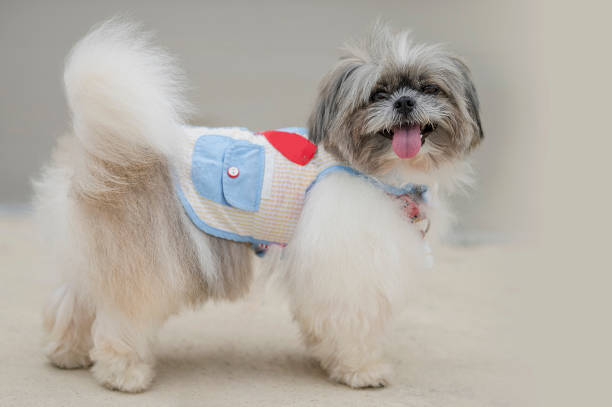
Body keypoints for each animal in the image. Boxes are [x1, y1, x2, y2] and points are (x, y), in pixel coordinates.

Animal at [34, 18, 482, 392]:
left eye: (430, 88)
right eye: (378, 93)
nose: (404, 103)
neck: (372, 170)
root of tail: (106, 150)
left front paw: (328, 355)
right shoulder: (347, 270)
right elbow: (352, 323)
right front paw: (362, 369)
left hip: (97, 252)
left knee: (72, 301)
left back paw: (67, 353)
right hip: (146, 264)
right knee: (121, 320)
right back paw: (123, 374)